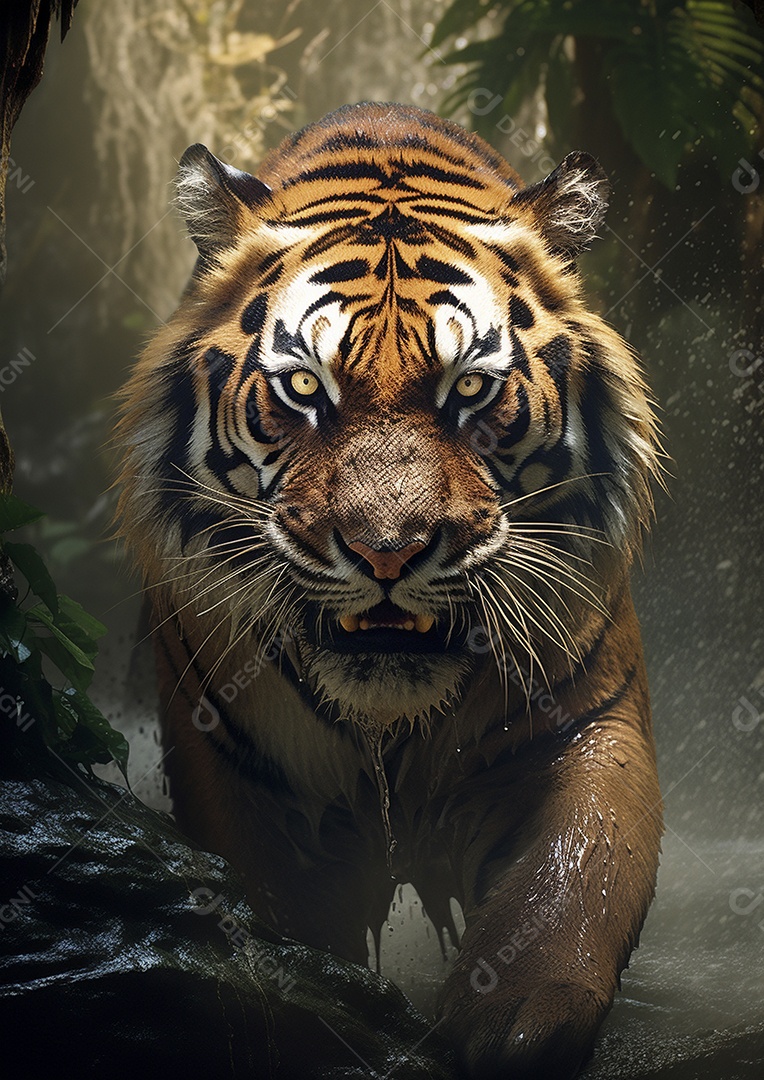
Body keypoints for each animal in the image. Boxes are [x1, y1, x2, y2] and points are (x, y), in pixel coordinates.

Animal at [116, 102, 663, 1078]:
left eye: (471, 388)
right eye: (304, 387)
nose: (387, 550)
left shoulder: (587, 722)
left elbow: (577, 880)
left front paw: (510, 1022)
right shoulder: (233, 763)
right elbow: (275, 922)